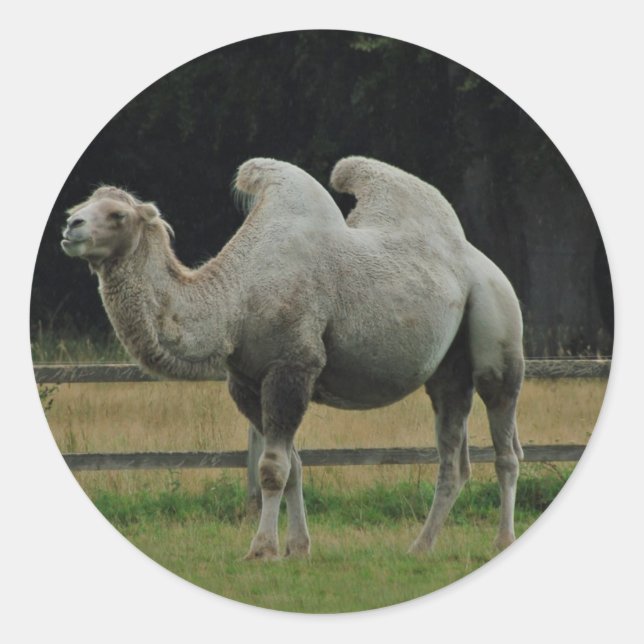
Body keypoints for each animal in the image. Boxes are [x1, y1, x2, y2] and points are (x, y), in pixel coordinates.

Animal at [61, 157, 524, 560]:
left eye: (118, 214)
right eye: (80, 206)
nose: (70, 226)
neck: (236, 300)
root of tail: (483, 261)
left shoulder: (292, 366)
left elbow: (272, 468)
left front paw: (262, 549)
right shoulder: (247, 383)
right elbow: (295, 466)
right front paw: (298, 548)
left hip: (497, 324)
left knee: (504, 438)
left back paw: (500, 541)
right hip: (447, 371)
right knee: (452, 455)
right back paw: (420, 547)